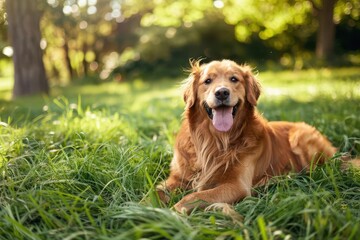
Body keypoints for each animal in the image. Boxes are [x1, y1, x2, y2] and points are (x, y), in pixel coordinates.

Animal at [157, 59, 338, 213]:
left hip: (300, 137)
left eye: (234, 79)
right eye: (207, 81)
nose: (222, 93)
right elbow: (156, 190)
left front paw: (172, 212)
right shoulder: (178, 178)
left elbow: (194, 196)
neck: (215, 140)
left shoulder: (236, 186)